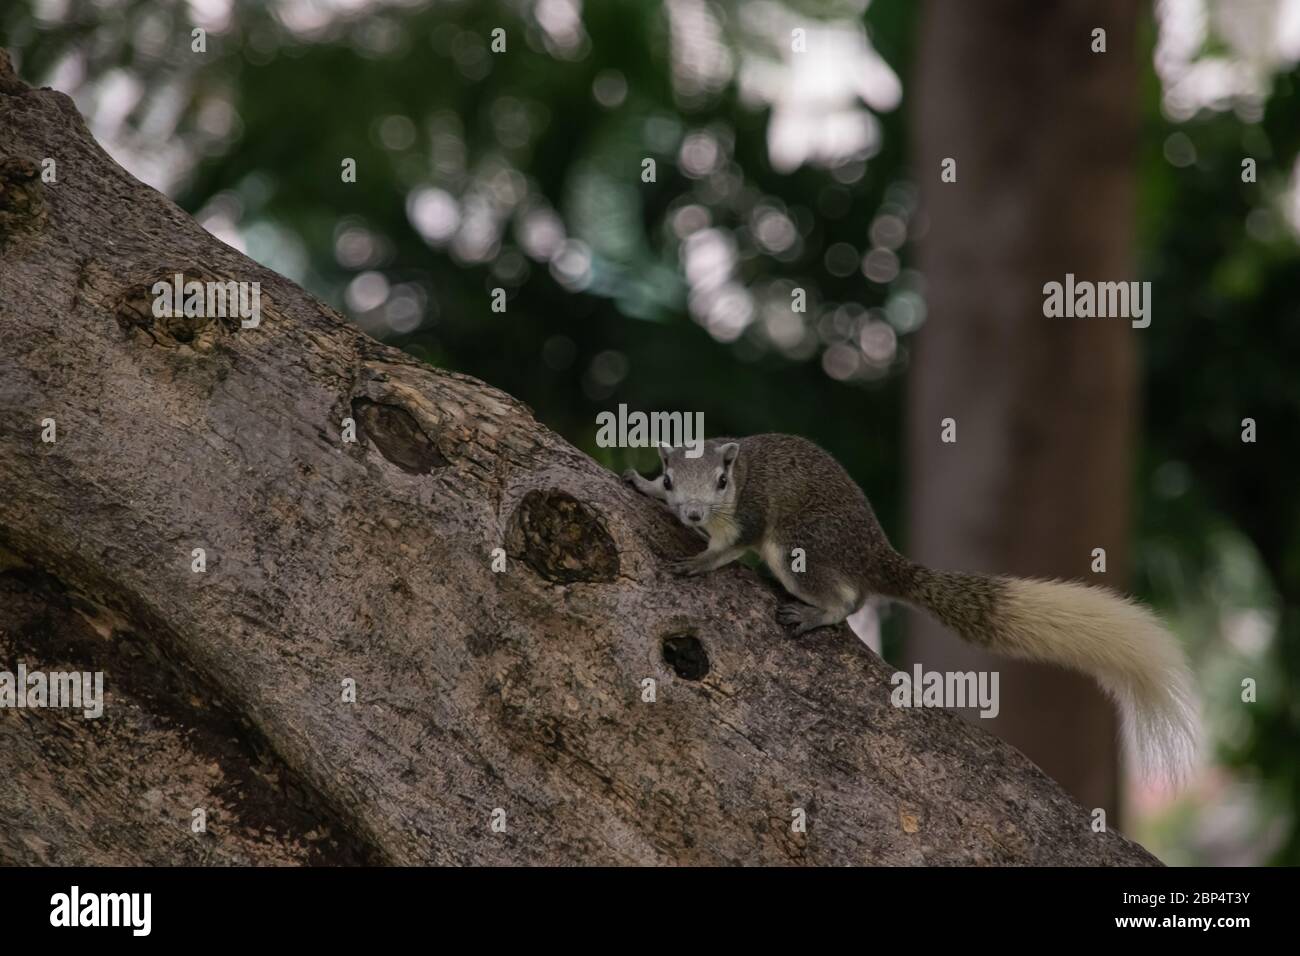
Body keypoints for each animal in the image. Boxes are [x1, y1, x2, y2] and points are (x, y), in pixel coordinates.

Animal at [623, 433, 1199, 781]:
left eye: (721, 482)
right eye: (671, 478)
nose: (692, 514)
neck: (738, 477)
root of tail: (877, 556)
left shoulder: (749, 516)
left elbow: (728, 549)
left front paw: (699, 562)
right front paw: (640, 484)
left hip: (799, 545)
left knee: (844, 598)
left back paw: (814, 612)